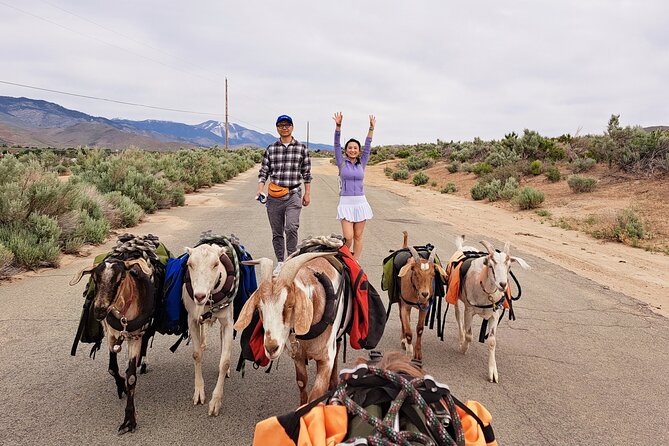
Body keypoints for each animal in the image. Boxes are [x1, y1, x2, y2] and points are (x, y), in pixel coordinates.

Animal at [70, 256, 157, 434]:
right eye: (95, 278)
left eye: (121, 277)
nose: (99, 310)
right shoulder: (111, 335)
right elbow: (112, 369)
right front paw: (121, 385)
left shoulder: (135, 337)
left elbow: (131, 377)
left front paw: (129, 420)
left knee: (146, 341)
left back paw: (143, 363)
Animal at [181, 242, 236, 416]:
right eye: (189, 264)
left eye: (216, 264)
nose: (199, 296)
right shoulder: (192, 318)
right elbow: (196, 355)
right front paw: (199, 392)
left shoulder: (228, 321)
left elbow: (224, 361)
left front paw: (215, 402)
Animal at [234, 253, 344, 406]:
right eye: (260, 308)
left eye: (290, 305)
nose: (271, 348)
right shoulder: (297, 356)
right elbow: (301, 382)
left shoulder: (326, 358)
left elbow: (315, 396)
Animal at [394, 232, 446, 364]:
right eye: (416, 273)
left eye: (433, 274)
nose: (425, 294)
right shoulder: (406, 306)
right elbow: (408, 332)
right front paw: (409, 350)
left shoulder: (424, 307)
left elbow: (420, 329)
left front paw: (418, 355)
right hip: (400, 301)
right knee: (402, 318)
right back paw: (403, 341)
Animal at [452, 233, 528, 384]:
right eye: (491, 266)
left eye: (509, 267)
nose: (502, 284)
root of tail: (463, 247)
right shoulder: (469, 311)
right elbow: (469, 335)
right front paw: (463, 348)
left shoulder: (495, 314)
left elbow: (492, 342)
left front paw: (493, 373)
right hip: (455, 297)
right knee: (458, 316)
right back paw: (461, 338)